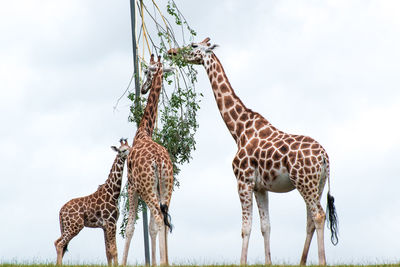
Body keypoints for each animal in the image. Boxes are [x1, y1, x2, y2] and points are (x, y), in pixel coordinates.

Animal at [169, 37, 338, 266]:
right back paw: (302, 262)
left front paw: (242, 262)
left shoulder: (243, 181)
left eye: (194, 46)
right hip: (317, 184)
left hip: (305, 182)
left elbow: (245, 228)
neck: (238, 129)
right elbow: (265, 227)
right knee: (311, 219)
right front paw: (268, 262)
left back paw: (321, 261)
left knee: (319, 215)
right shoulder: (260, 187)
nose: (171, 52)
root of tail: (324, 157)